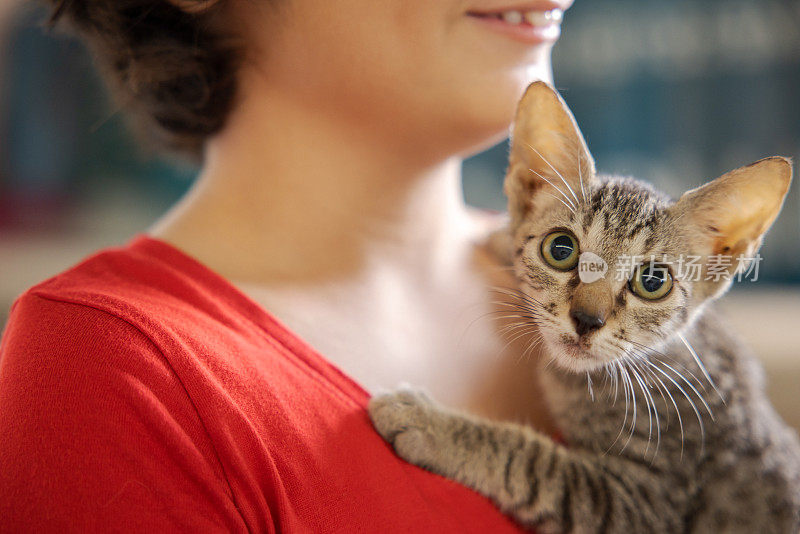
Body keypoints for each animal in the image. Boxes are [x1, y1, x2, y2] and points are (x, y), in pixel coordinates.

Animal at [368, 80, 800, 534]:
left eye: (653, 281)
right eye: (561, 249)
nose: (587, 319)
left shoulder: (643, 502)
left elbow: (537, 464)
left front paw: (434, 425)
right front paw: (502, 235)